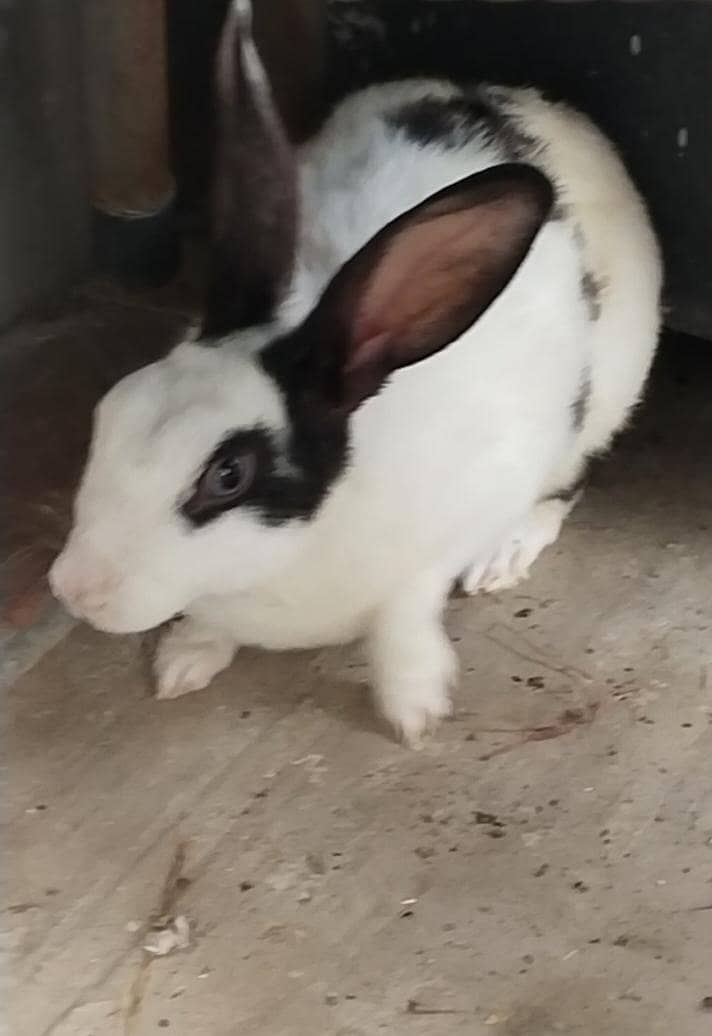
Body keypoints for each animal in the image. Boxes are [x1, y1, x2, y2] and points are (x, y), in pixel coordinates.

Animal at [50, 0, 661, 746]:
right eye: (111, 411)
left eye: (229, 475)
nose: (76, 591)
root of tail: (540, 106)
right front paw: (186, 659)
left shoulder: (438, 546)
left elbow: (405, 618)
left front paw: (414, 708)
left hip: (602, 404)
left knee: (568, 485)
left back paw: (504, 556)